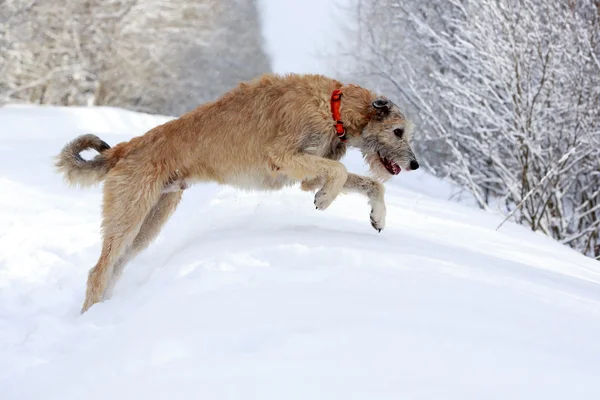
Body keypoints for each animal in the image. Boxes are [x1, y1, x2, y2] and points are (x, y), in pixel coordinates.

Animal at [56, 73, 420, 314]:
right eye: (398, 131)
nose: (415, 164)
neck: (334, 107)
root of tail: (124, 148)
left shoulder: (308, 172)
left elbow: (369, 183)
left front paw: (377, 215)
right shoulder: (284, 157)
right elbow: (339, 171)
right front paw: (326, 199)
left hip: (151, 221)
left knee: (116, 266)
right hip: (128, 214)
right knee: (98, 272)